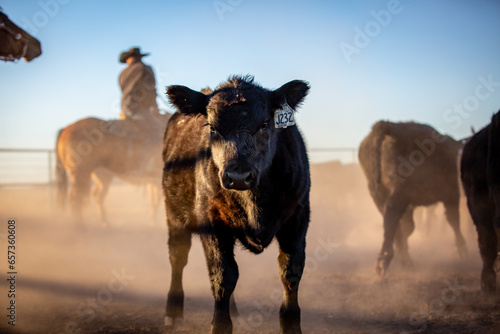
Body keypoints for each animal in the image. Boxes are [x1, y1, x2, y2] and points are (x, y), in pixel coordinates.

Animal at [162, 76, 310, 334]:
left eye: (264, 124)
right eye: (212, 127)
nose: (238, 176)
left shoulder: (299, 216)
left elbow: (290, 272)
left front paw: (291, 326)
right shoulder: (211, 222)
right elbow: (223, 276)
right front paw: (220, 325)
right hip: (173, 214)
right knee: (178, 258)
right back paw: (173, 312)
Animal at [358, 121, 466, 276]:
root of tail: (389, 125)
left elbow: (407, 228)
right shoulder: (451, 193)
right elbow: (454, 219)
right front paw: (462, 248)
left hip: (378, 192)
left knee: (392, 222)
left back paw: (401, 259)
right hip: (400, 192)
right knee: (391, 216)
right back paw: (385, 259)